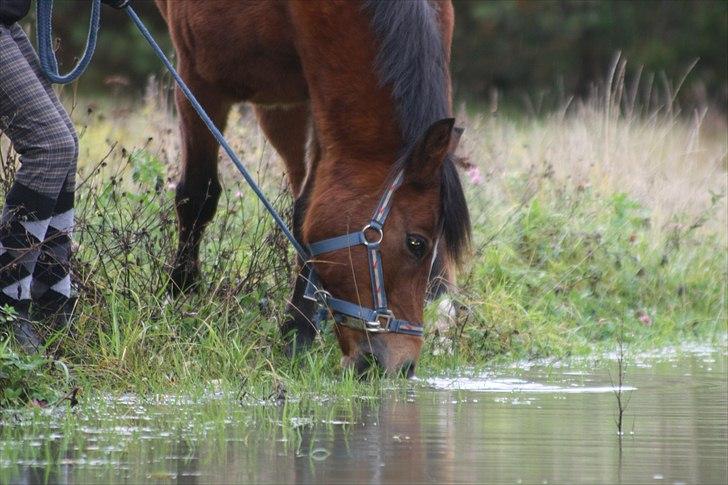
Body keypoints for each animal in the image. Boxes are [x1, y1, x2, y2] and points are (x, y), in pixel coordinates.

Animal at [156, 0, 470, 376]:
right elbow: (197, 195)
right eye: (416, 244)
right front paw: (182, 294)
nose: (402, 366)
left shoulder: (324, 101)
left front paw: (298, 331)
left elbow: (306, 212)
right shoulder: (196, 80)